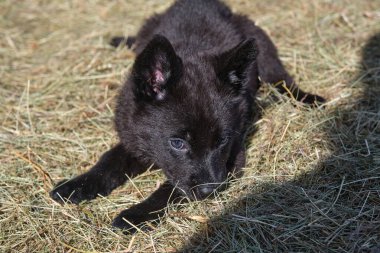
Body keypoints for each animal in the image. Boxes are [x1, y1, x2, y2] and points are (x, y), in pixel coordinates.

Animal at [49, 0, 324, 233]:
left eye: (221, 141)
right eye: (177, 143)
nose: (209, 191)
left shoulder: (234, 157)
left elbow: (170, 190)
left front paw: (136, 214)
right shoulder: (133, 134)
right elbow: (110, 160)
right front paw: (76, 185)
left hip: (263, 48)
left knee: (282, 79)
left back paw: (309, 98)